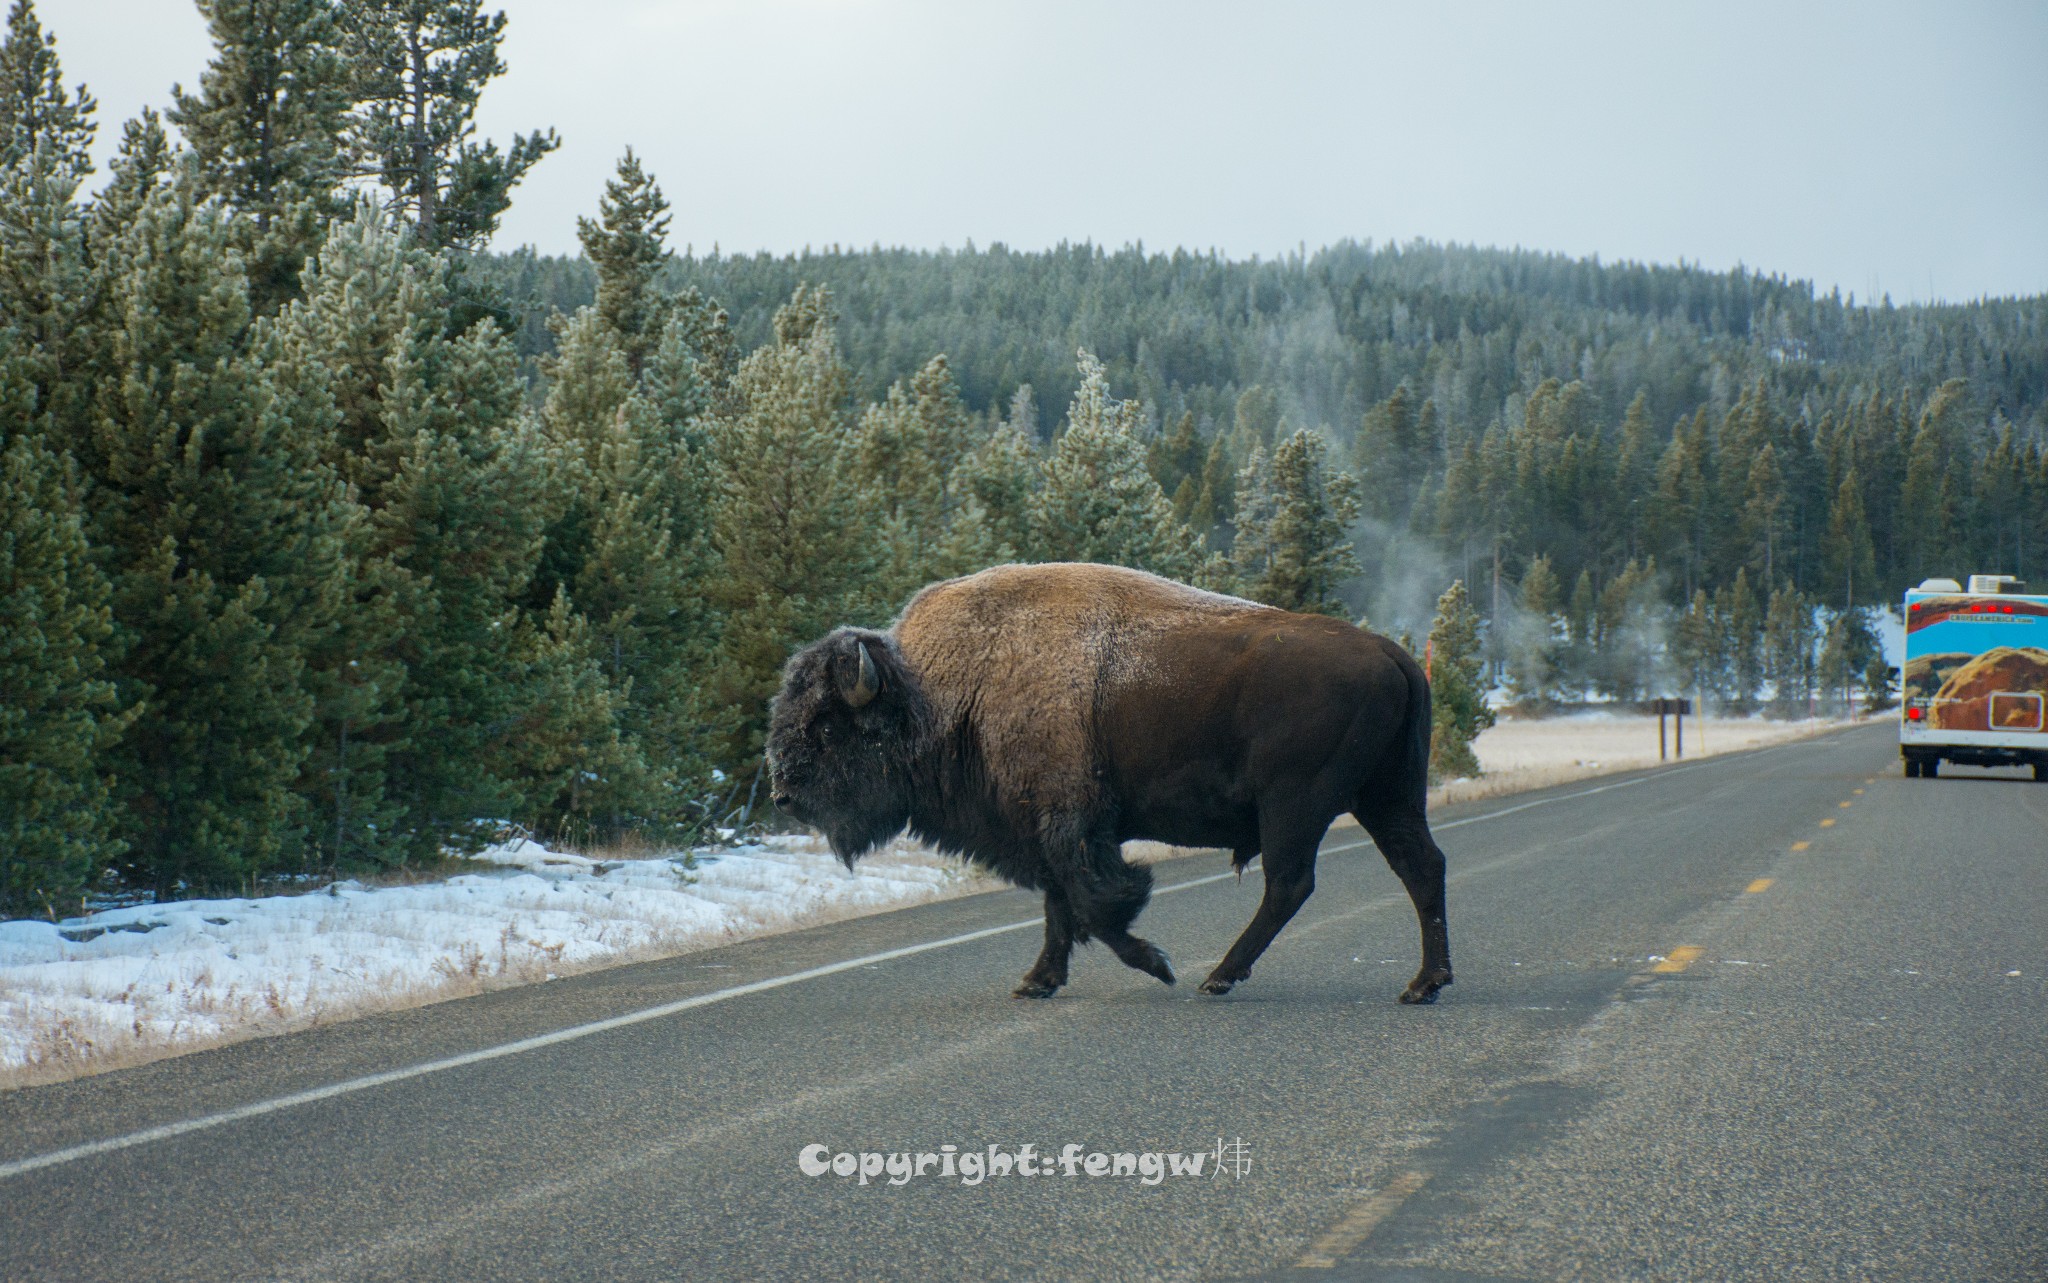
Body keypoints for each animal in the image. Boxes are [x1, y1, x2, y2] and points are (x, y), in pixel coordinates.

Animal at [770, 557, 1458, 1000]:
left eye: (828, 725)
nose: (783, 794)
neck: (937, 692)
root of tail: (1392, 653)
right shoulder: (1041, 828)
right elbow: (1059, 905)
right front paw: (1037, 982)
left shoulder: (1069, 825)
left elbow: (1095, 904)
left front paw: (1157, 964)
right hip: (1386, 797)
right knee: (1420, 866)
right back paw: (1424, 984)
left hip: (1297, 806)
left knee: (1291, 884)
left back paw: (1218, 976)